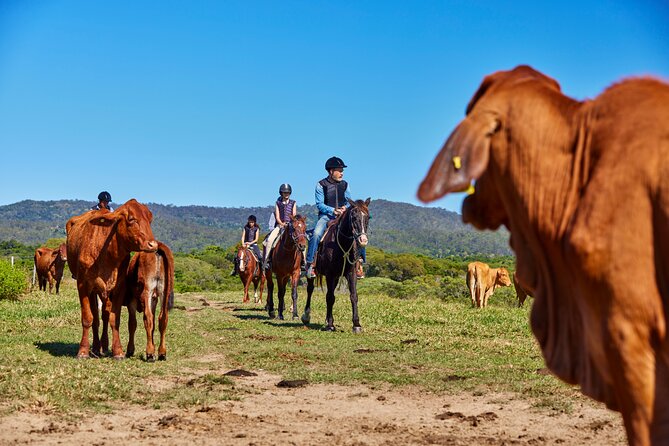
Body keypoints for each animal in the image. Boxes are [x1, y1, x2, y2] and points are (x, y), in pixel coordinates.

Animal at [302, 198, 370, 332]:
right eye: (354, 217)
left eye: (368, 217)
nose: (363, 240)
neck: (342, 244)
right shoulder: (330, 274)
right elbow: (330, 297)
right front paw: (330, 324)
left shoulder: (350, 273)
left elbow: (353, 296)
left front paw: (356, 324)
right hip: (312, 273)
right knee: (310, 289)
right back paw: (306, 316)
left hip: (337, 277)